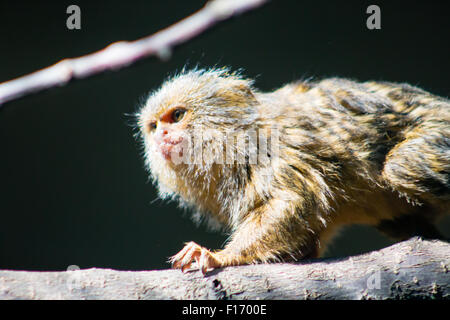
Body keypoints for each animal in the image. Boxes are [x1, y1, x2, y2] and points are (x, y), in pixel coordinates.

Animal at [136, 67, 446, 272]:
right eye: (154, 126)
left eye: (177, 116)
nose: (162, 134)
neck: (235, 137)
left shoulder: (274, 151)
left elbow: (291, 202)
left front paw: (220, 256)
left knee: (402, 168)